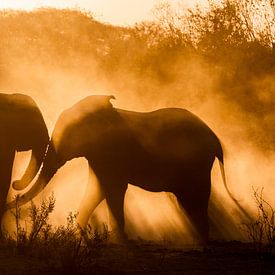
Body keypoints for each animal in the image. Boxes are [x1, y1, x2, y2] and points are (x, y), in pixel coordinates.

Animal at [6, 95, 229, 244]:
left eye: (68, 136)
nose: (14, 184)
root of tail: (216, 138)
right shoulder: (98, 156)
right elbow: (97, 190)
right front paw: (80, 237)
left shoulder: (112, 152)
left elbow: (113, 189)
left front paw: (119, 241)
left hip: (197, 164)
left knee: (198, 196)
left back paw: (202, 241)